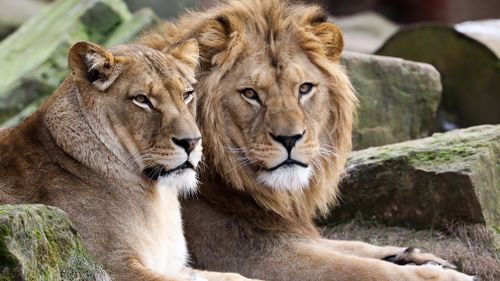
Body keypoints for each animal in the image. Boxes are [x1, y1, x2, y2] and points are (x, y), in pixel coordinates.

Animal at [0, 40, 258, 280]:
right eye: (142, 99)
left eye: (186, 95)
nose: (192, 142)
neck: (158, 197)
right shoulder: (109, 265)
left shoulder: (174, 267)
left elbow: (237, 276)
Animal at [140, 0, 476, 280]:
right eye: (250, 94)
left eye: (304, 88)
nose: (290, 139)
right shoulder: (243, 255)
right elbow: (357, 267)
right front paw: (436, 275)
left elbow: (350, 246)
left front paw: (415, 256)